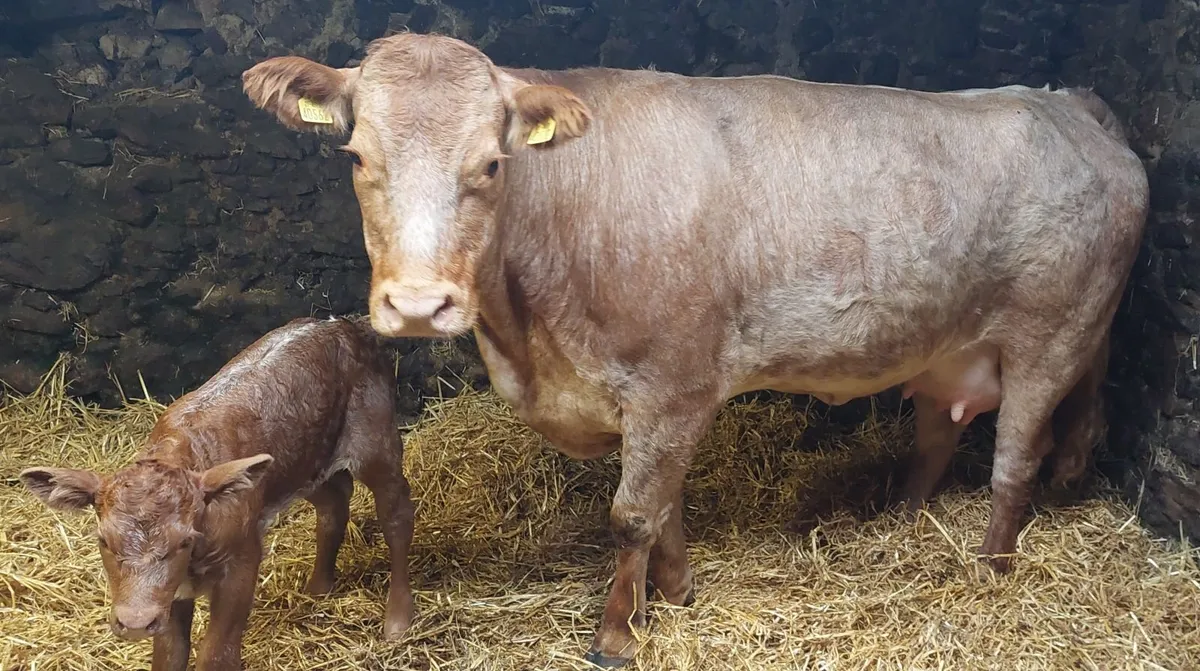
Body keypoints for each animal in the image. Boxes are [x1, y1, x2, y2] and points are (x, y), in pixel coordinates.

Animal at [19, 316, 415, 671]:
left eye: (183, 541)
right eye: (103, 540)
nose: (135, 623)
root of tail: (343, 324)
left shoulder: (242, 561)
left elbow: (216, 654)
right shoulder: (171, 593)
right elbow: (169, 655)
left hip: (376, 440)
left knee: (396, 513)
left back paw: (398, 621)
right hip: (304, 464)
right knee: (334, 500)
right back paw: (318, 588)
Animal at [241, 33, 1149, 667]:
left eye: (492, 163)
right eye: (357, 155)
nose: (419, 304)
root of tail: (1072, 104)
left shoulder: (671, 383)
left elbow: (634, 512)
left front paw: (616, 635)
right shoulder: (656, 400)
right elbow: (668, 507)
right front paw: (674, 595)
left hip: (1049, 338)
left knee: (1015, 462)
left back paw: (990, 565)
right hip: (945, 349)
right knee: (937, 436)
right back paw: (904, 516)